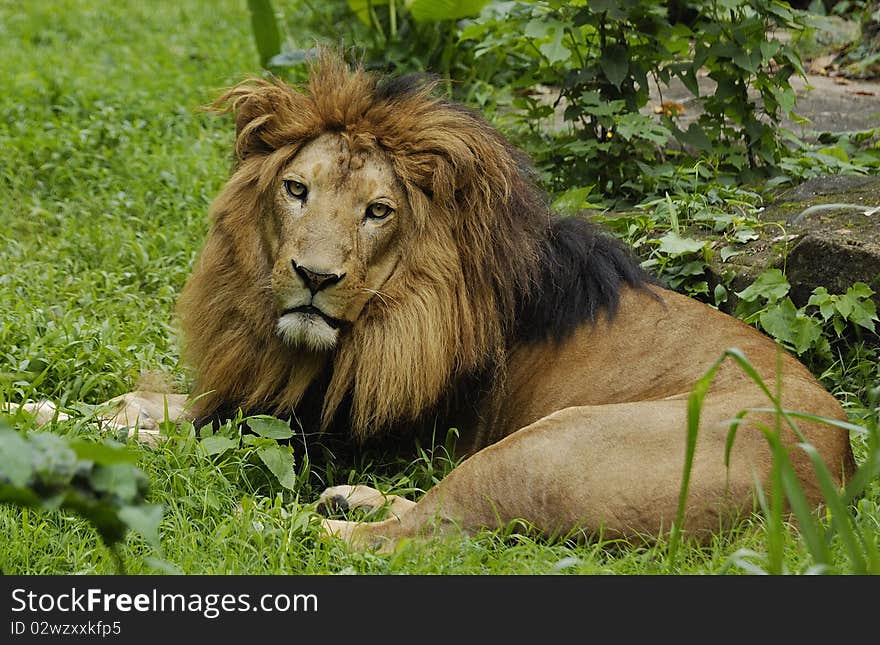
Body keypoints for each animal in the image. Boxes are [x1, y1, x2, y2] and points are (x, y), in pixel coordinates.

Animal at [56, 54, 860, 548]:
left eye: (378, 212)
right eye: (296, 189)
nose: (314, 277)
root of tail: (835, 479)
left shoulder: (330, 430)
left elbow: (177, 433)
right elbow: (147, 404)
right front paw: (56, 409)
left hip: (546, 445)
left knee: (412, 540)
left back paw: (291, 526)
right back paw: (349, 502)